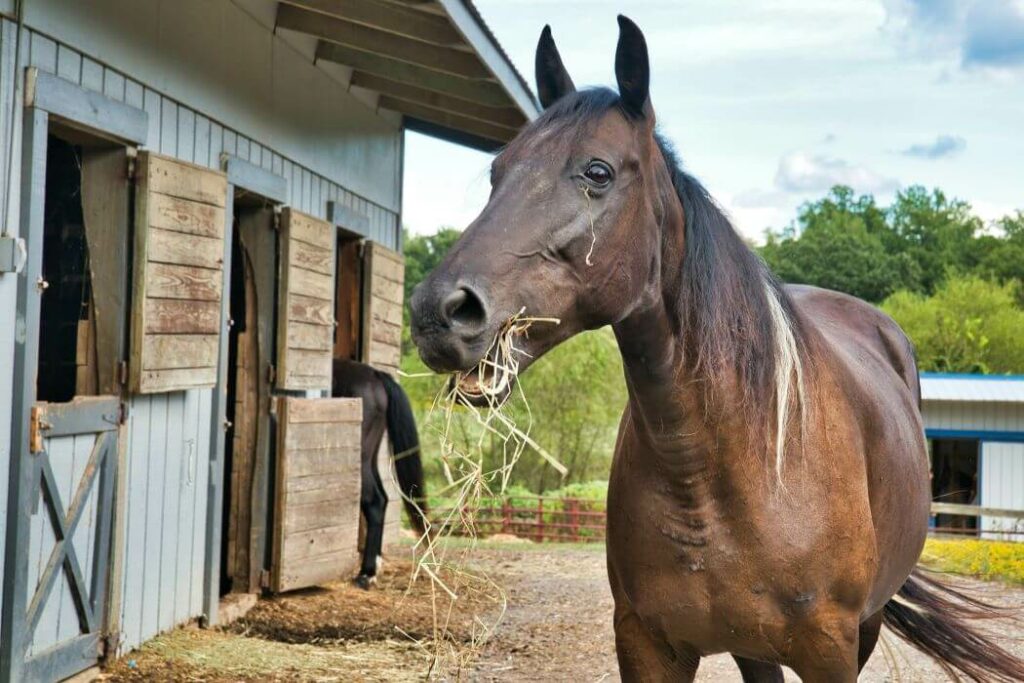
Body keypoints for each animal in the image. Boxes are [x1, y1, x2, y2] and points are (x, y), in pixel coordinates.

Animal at [327, 358, 423, 589]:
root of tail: (375, 375)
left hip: (360, 458)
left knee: (375, 502)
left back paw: (366, 573)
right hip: (370, 456)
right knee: (382, 499)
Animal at [407, 15, 1024, 683]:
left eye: (597, 172)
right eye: (498, 171)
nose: (439, 311)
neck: (716, 477)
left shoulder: (829, 649)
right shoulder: (647, 644)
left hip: (863, 625)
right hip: (753, 645)